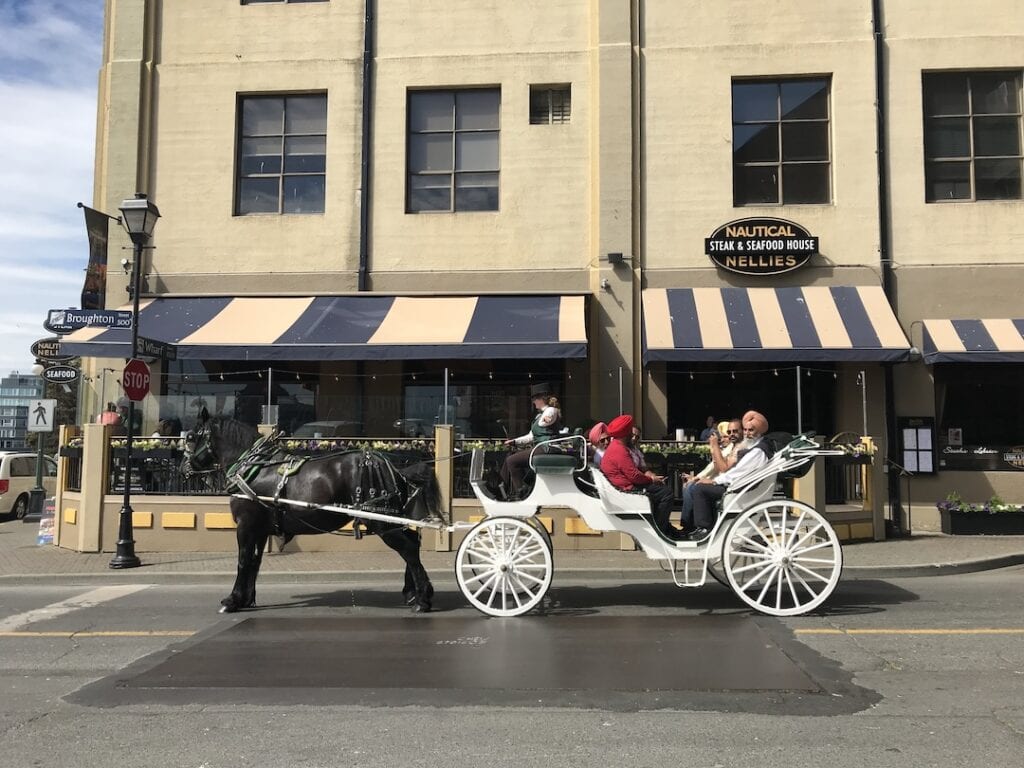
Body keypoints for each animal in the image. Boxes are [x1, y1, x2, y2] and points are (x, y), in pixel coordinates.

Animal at [184, 411, 440, 618]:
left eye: (191, 436)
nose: (183, 468)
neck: (254, 467)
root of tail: (394, 469)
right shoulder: (260, 528)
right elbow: (255, 562)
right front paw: (247, 599)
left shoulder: (246, 525)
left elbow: (243, 560)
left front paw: (232, 600)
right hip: (390, 520)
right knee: (413, 543)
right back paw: (412, 593)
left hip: (380, 522)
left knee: (408, 549)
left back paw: (423, 599)